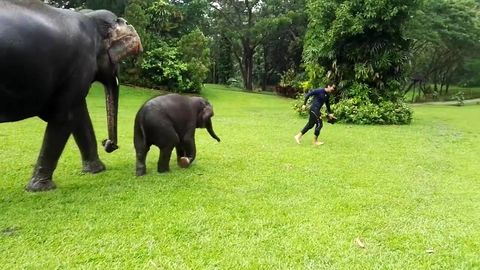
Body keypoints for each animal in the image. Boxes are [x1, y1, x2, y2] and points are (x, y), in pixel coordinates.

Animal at [0, 1, 142, 191]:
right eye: (118, 61)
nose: (109, 144)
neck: (89, 18)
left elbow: (79, 115)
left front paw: (96, 170)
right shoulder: (80, 64)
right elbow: (65, 115)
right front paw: (41, 188)